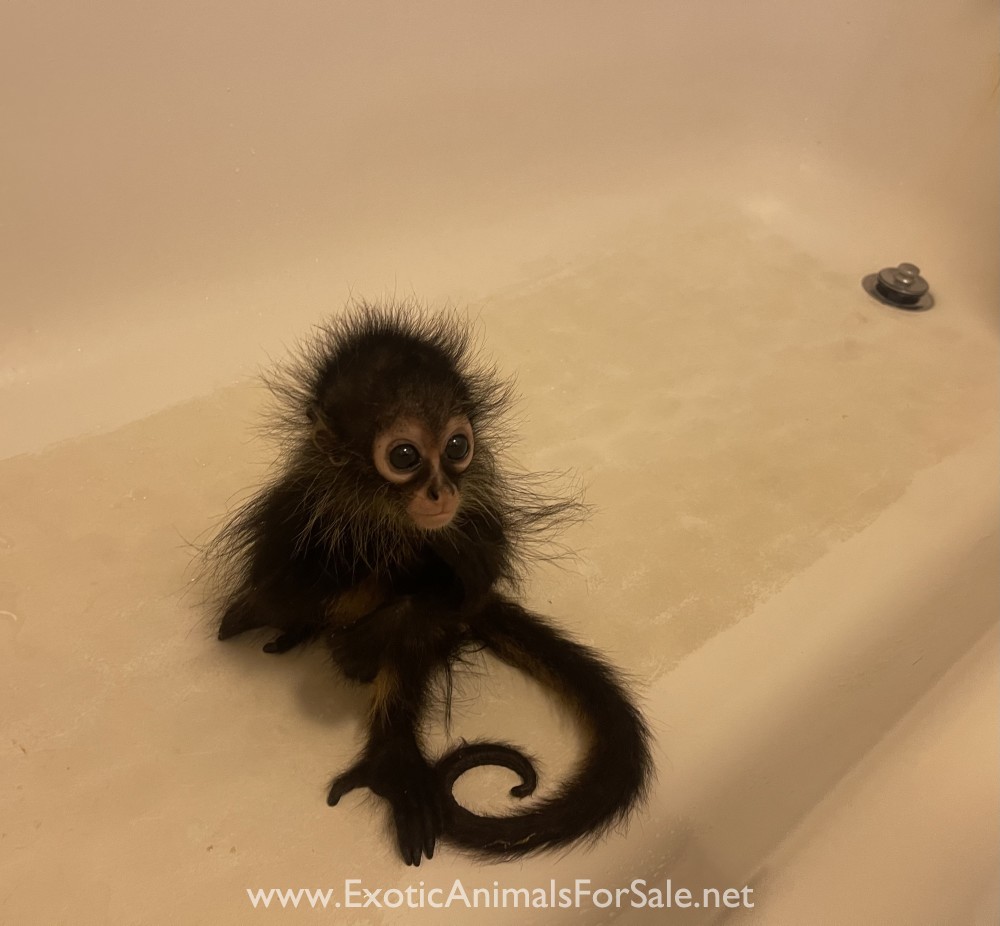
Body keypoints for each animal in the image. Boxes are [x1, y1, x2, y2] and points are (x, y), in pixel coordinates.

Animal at [208, 300, 653, 865]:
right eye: (404, 456)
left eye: (458, 446)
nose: (442, 492)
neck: (389, 518)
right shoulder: (300, 506)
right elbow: (282, 587)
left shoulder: (474, 518)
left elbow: (462, 590)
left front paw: (365, 641)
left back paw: (393, 759)